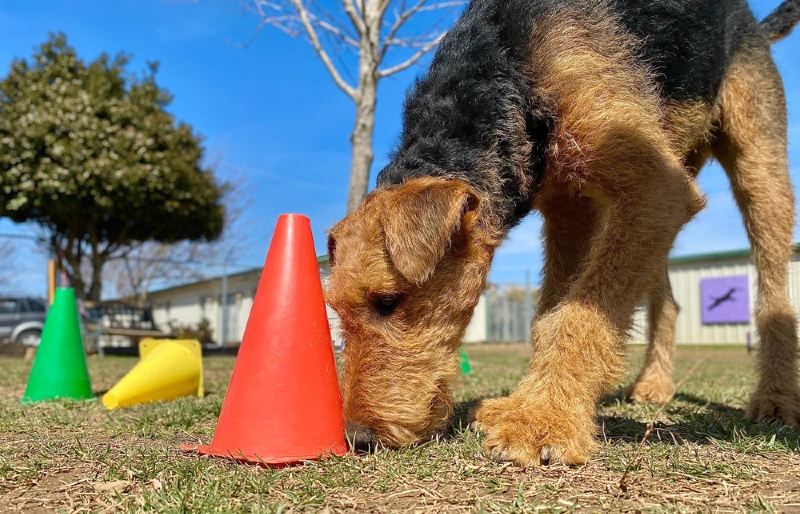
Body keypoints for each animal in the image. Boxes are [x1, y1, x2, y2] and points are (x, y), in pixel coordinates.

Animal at [324, 0, 800, 464]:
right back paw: (653, 384)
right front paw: (530, 402)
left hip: (756, 165)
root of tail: (751, 22)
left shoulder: (655, 187)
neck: (507, 68)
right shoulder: (570, 205)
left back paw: (776, 399)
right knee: (666, 300)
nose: (358, 437)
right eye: (336, 309)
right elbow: (550, 312)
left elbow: (578, 315)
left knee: (774, 292)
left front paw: (540, 419)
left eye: (388, 301)